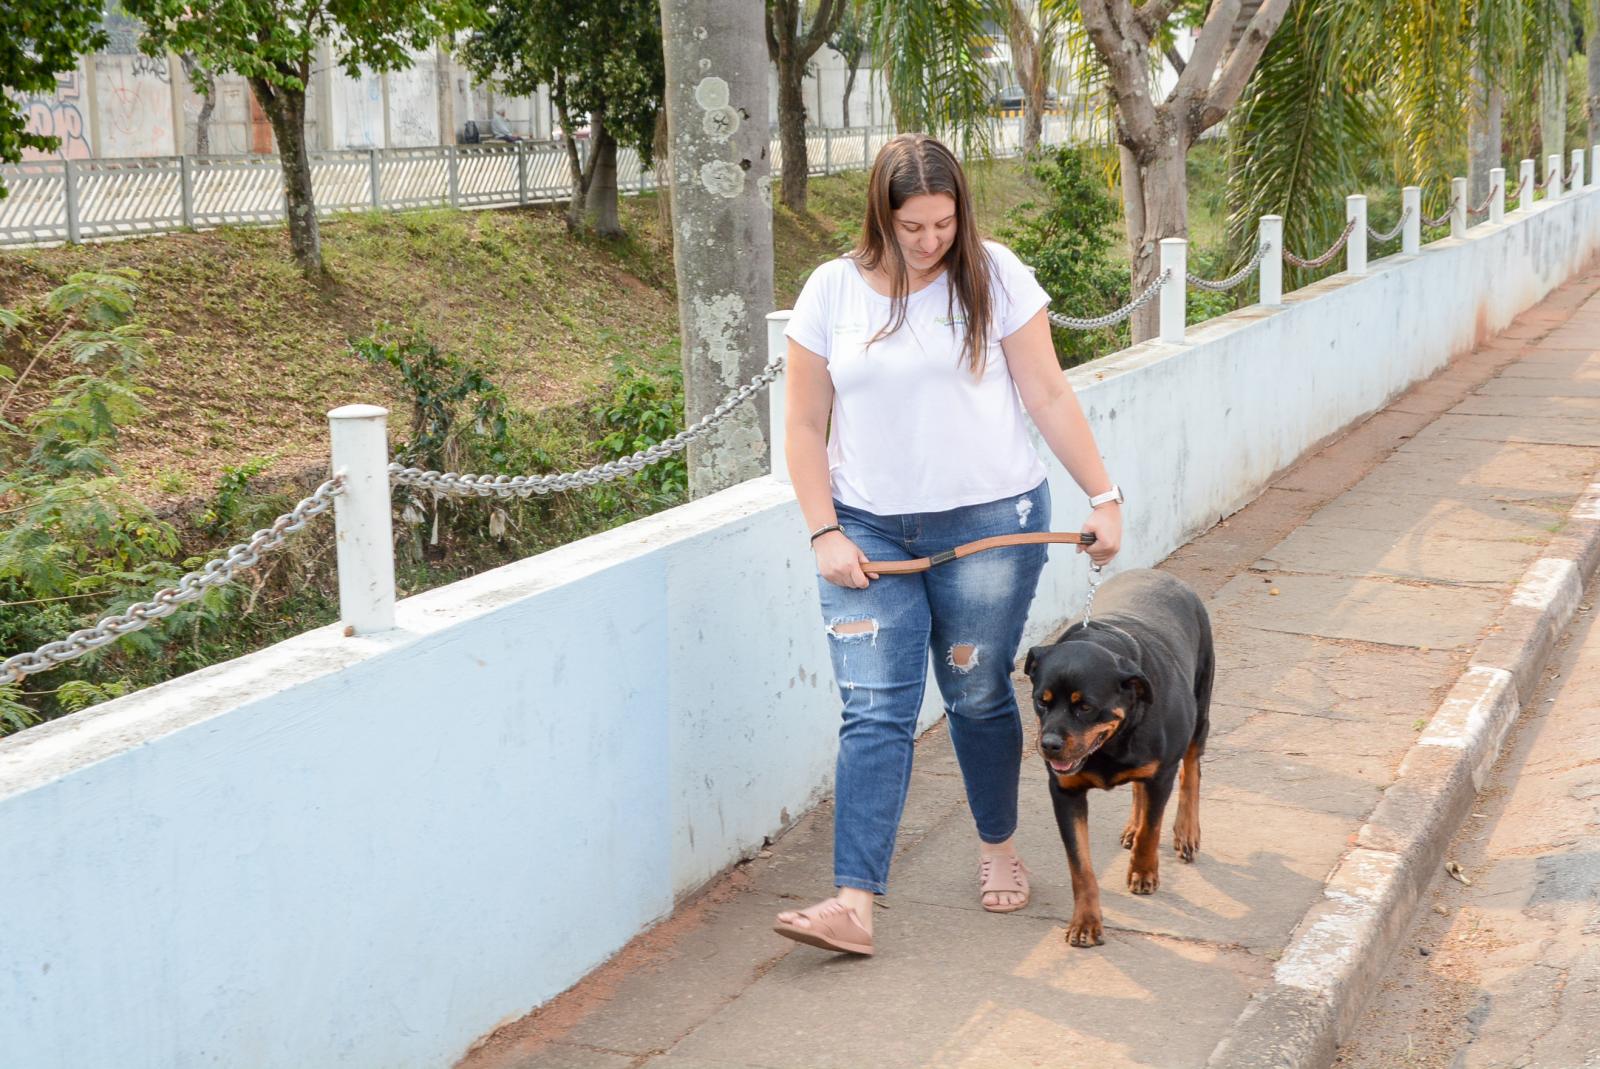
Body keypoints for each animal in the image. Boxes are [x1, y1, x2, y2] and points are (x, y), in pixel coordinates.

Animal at [1024, 572, 1209, 947]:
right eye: (1041, 700)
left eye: (1085, 706)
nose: (1048, 744)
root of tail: (1163, 575)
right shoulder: (1064, 792)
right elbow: (1080, 866)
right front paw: (1086, 922)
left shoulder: (1161, 774)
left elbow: (1152, 829)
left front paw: (1143, 872)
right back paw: (1132, 827)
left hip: (1201, 704)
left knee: (1192, 769)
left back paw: (1186, 831)